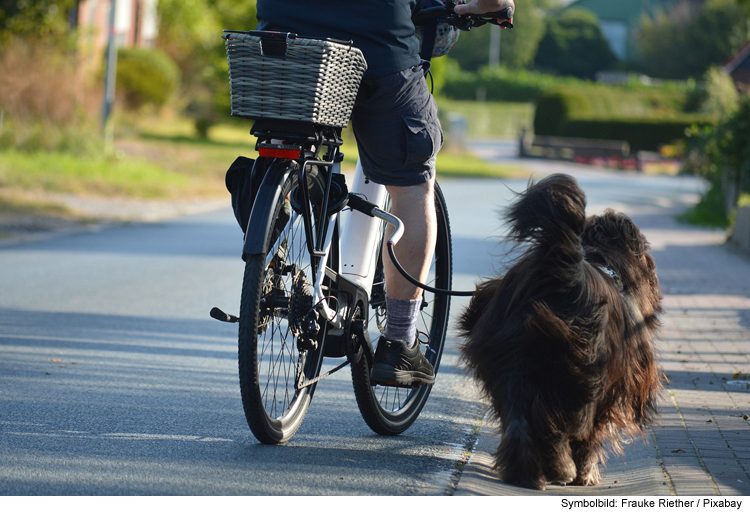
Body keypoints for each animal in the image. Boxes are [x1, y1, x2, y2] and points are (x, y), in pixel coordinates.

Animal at [458, 174, 664, 490]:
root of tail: (560, 268)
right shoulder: (613, 387)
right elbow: (593, 435)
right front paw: (587, 473)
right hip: (579, 372)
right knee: (559, 422)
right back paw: (560, 468)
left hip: (510, 355)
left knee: (518, 416)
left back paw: (525, 471)